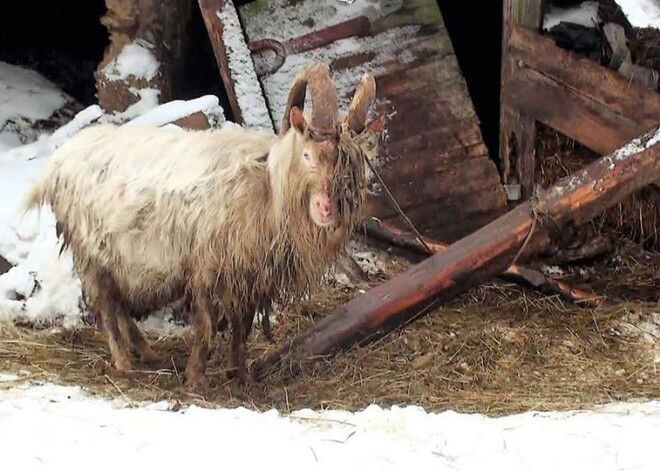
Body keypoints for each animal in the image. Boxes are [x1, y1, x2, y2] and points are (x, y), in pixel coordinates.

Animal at [24, 60, 376, 390]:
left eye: (348, 164)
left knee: (119, 305)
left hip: (116, 258)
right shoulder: (208, 267)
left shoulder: (248, 272)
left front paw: (240, 375)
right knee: (107, 309)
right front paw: (195, 379)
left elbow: (242, 326)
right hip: (90, 253)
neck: (266, 187)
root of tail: (57, 163)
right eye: (306, 154)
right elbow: (207, 326)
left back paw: (147, 353)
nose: (326, 209)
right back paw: (124, 364)